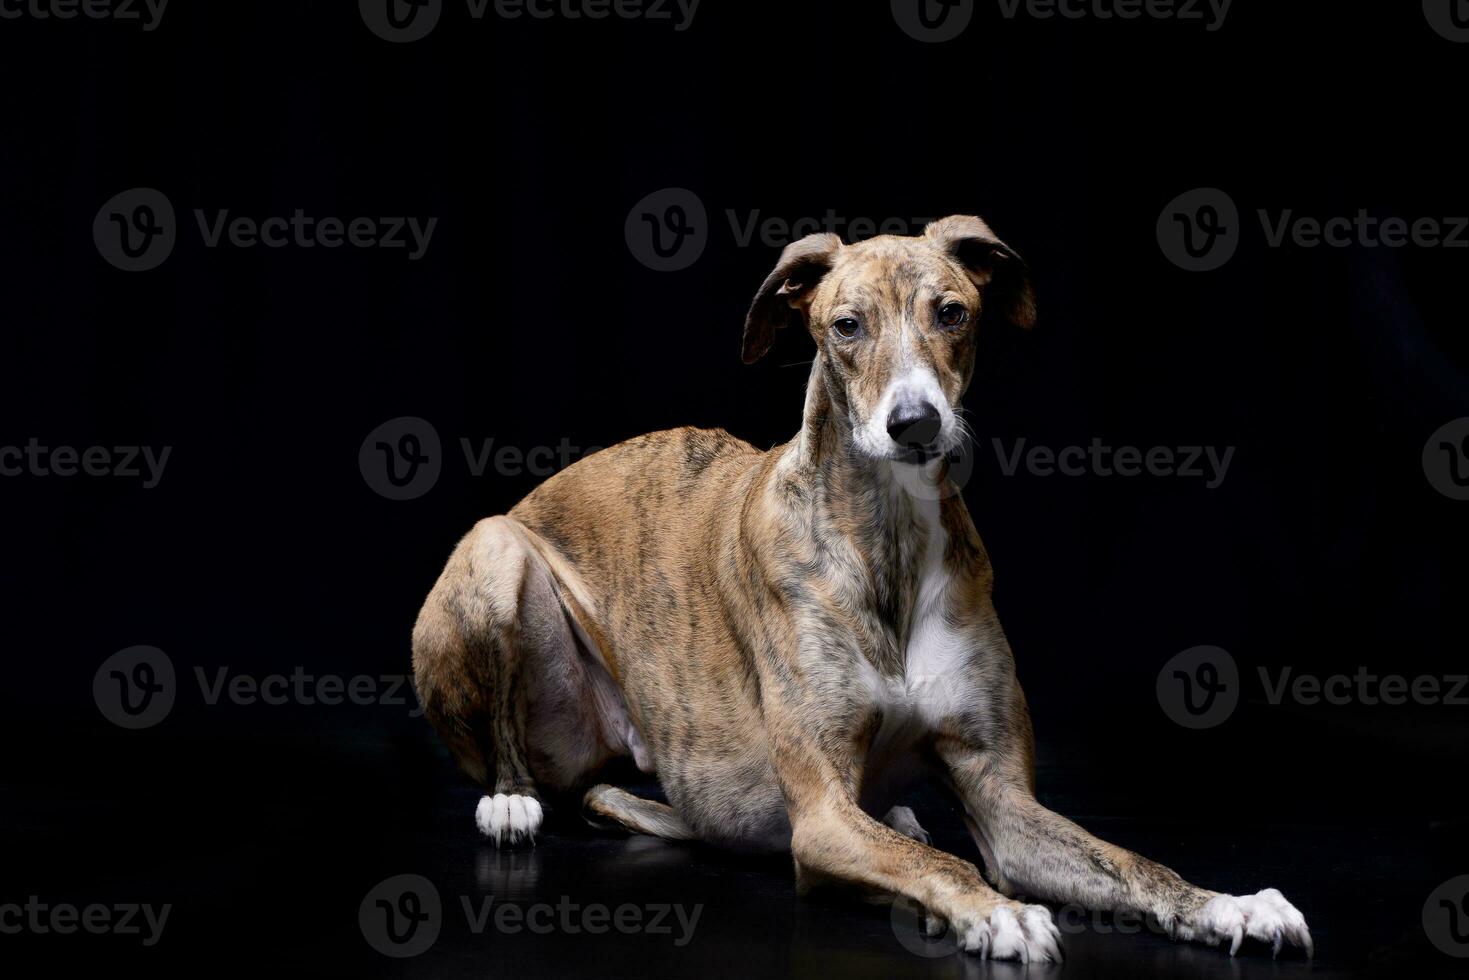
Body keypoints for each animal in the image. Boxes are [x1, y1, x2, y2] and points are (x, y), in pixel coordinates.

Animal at [411, 215, 1310, 963]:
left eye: (952, 313)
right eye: (846, 326)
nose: (914, 424)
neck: (888, 544)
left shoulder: (1002, 798)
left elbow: (1126, 860)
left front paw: (1226, 904)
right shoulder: (822, 818)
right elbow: (939, 866)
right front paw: (997, 914)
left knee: (612, 796)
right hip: (494, 552)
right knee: (536, 768)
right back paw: (509, 801)